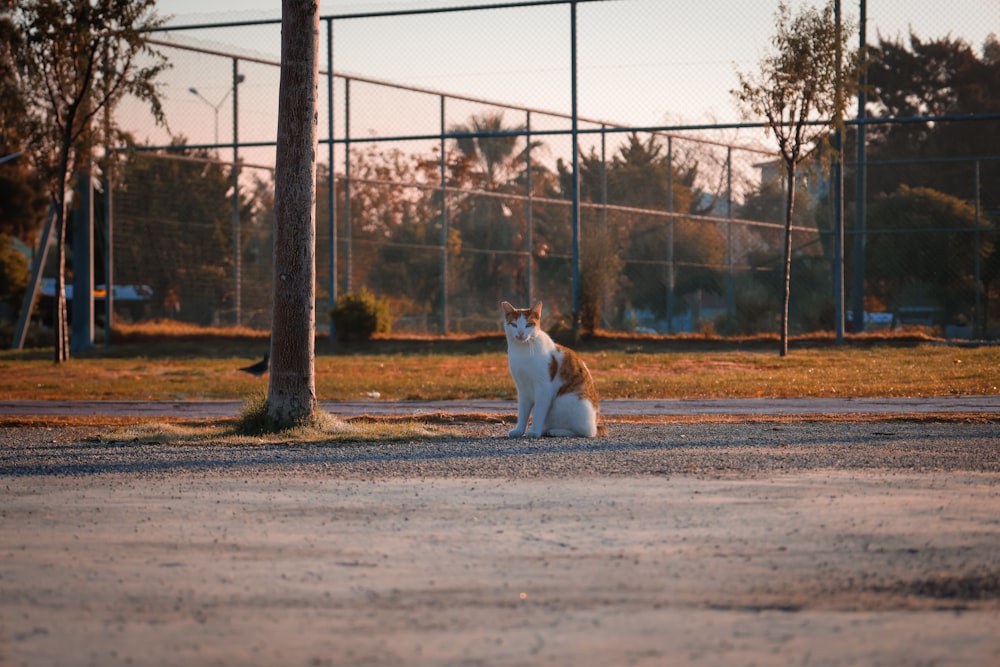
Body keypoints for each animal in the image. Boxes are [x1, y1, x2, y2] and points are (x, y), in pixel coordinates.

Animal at [504, 302, 604, 438]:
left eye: (528, 324)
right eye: (513, 324)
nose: (520, 333)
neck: (522, 351)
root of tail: (596, 422)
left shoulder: (544, 388)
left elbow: (538, 412)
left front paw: (534, 432)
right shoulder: (522, 388)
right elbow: (523, 412)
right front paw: (519, 430)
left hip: (566, 401)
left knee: (586, 432)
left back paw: (556, 431)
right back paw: (547, 430)